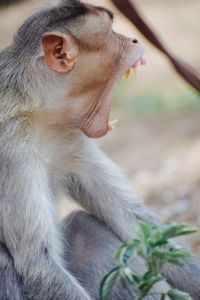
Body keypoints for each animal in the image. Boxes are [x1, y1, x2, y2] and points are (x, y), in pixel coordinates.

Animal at [0, 0, 200, 298]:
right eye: (110, 33)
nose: (134, 39)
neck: (37, 111)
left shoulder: (69, 137)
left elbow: (137, 223)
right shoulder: (12, 152)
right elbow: (39, 264)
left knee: (85, 229)